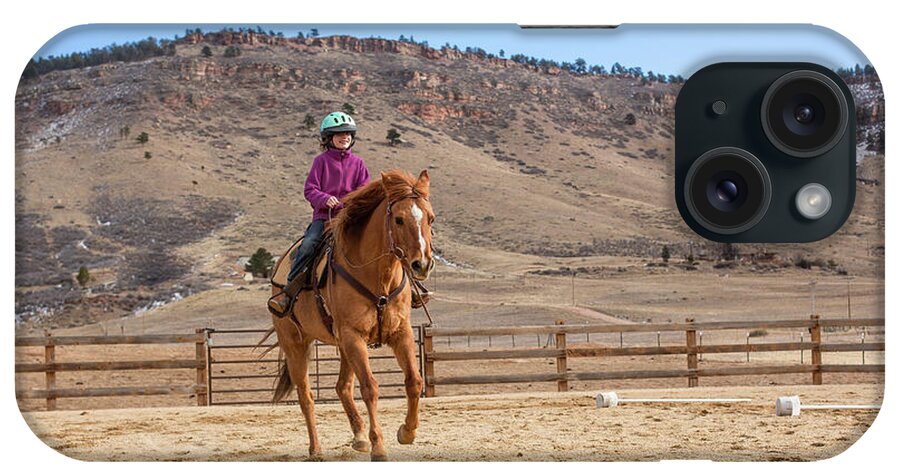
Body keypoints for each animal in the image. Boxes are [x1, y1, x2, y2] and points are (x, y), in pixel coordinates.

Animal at [268, 169, 434, 460]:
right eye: (399, 219)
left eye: (431, 218)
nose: (422, 264)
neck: (378, 276)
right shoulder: (353, 336)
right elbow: (370, 388)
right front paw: (379, 446)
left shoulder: (400, 332)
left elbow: (414, 381)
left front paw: (407, 432)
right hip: (296, 343)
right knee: (306, 396)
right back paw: (316, 449)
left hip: (342, 345)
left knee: (342, 387)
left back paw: (359, 437)